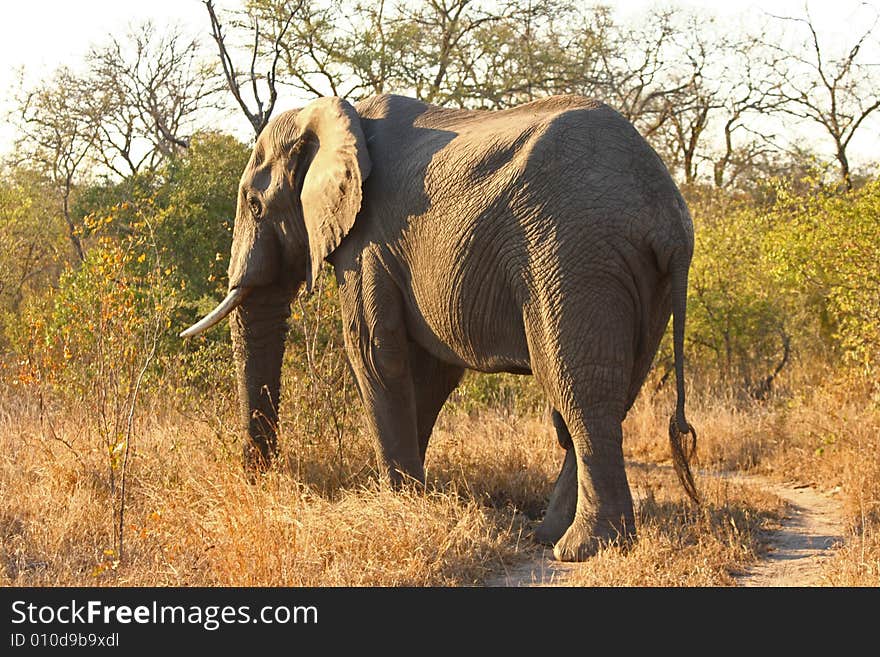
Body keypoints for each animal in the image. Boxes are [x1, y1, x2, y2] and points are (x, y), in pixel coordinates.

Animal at [180, 92, 700, 560]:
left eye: (255, 204)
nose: (259, 481)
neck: (332, 113)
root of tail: (668, 214)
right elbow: (428, 374)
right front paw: (413, 495)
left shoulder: (369, 240)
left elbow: (375, 354)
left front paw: (399, 503)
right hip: (639, 280)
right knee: (611, 395)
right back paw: (549, 535)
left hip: (573, 256)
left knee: (580, 393)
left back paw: (581, 549)